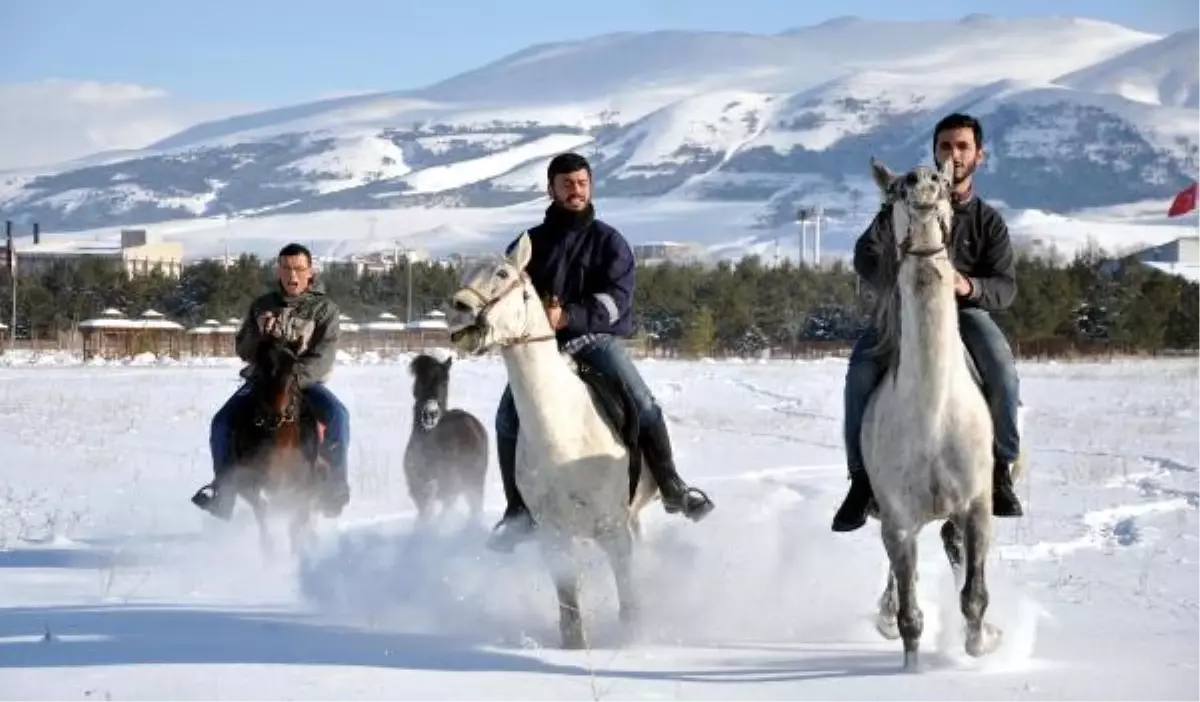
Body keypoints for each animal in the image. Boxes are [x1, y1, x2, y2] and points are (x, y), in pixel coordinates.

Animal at [225, 333, 326, 559]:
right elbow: (262, 510)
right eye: (260, 369)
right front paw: (270, 554)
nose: (274, 415)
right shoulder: (248, 481)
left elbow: (297, 522)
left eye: (294, 368)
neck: (281, 444)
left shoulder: (305, 487)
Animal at [446, 234, 662, 648]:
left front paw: (630, 641)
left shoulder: (614, 527)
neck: (562, 430)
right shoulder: (553, 534)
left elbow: (627, 596)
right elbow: (569, 604)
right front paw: (574, 647)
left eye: (502, 274)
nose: (458, 309)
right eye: (463, 274)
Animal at [859, 154, 1027, 667]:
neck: (932, 413)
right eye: (892, 195)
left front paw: (983, 639)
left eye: (947, 188)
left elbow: (974, 597)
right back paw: (884, 613)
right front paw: (910, 664)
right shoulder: (897, 522)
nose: (924, 183)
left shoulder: (977, 508)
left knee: (956, 555)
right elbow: (911, 618)